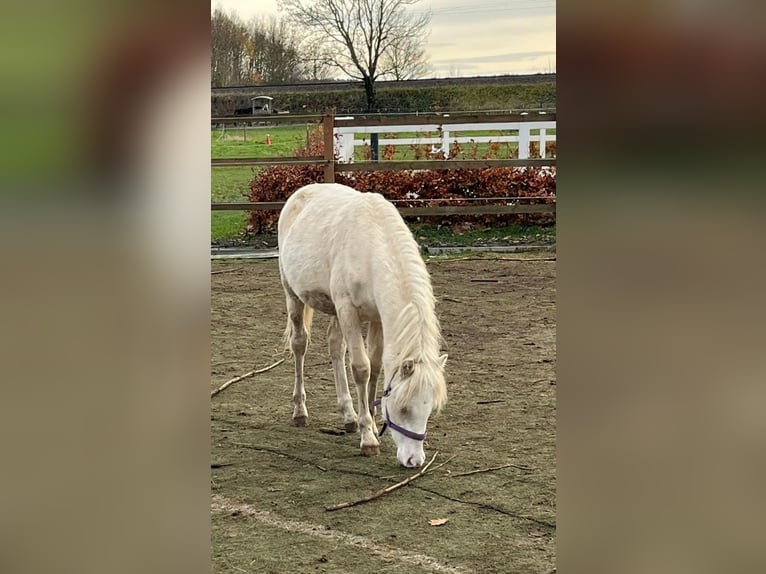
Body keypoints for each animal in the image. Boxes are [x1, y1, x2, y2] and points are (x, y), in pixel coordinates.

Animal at [278, 183, 448, 468]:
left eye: (430, 409)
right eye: (404, 408)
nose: (414, 460)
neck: (372, 249)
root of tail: (301, 194)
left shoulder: (377, 317)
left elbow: (376, 367)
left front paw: (368, 420)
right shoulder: (348, 311)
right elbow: (361, 368)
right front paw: (368, 437)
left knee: (335, 347)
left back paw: (348, 415)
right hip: (293, 295)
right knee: (300, 345)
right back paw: (300, 411)